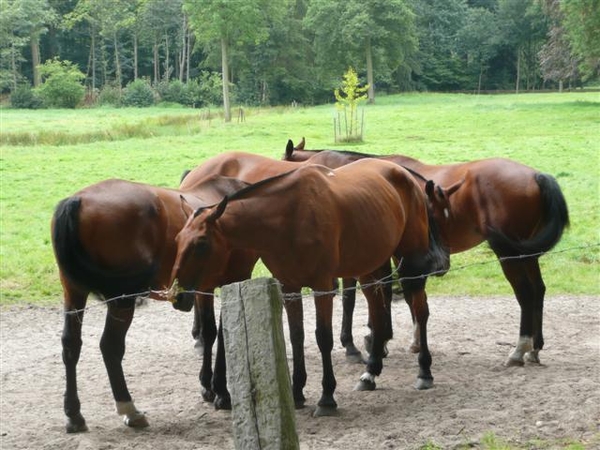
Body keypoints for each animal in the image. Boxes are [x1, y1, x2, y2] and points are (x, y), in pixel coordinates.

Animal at [51, 173, 255, 432]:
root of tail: (78, 200)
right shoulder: (235, 279)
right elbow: (222, 333)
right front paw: (221, 392)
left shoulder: (204, 286)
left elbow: (210, 332)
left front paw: (209, 387)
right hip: (121, 300)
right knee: (110, 346)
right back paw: (129, 409)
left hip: (74, 290)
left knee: (71, 344)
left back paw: (74, 414)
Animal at [166, 160, 448, 416]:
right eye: (178, 239)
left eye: (201, 244)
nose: (177, 296)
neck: (289, 217)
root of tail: (401, 172)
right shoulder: (289, 288)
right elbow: (296, 336)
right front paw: (297, 392)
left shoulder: (322, 286)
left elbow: (323, 337)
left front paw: (327, 397)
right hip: (370, 267)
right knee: (379, 313)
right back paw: (370, 373)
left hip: (409, 263)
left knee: (420, 310)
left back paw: (424, 371)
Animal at [284, 137, 568, 366]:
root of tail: (536, 176)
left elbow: (375, 294)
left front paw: (377, 339)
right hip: (526, 254)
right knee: (538, 290)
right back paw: (535, 348)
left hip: (509, 253)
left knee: (525, 293)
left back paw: (519, 350)